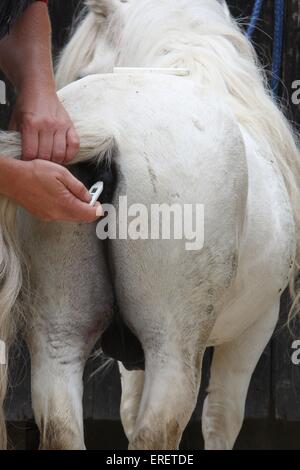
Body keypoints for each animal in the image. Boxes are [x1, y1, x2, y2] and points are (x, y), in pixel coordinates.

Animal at [0, 0, 300, 450]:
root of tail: (109, 134)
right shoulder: (255, 326)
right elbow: (221, 417)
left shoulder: (131, 357)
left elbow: (127, 410)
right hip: (173, 343)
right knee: (159, 428)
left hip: (59, 333)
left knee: (61, 422)